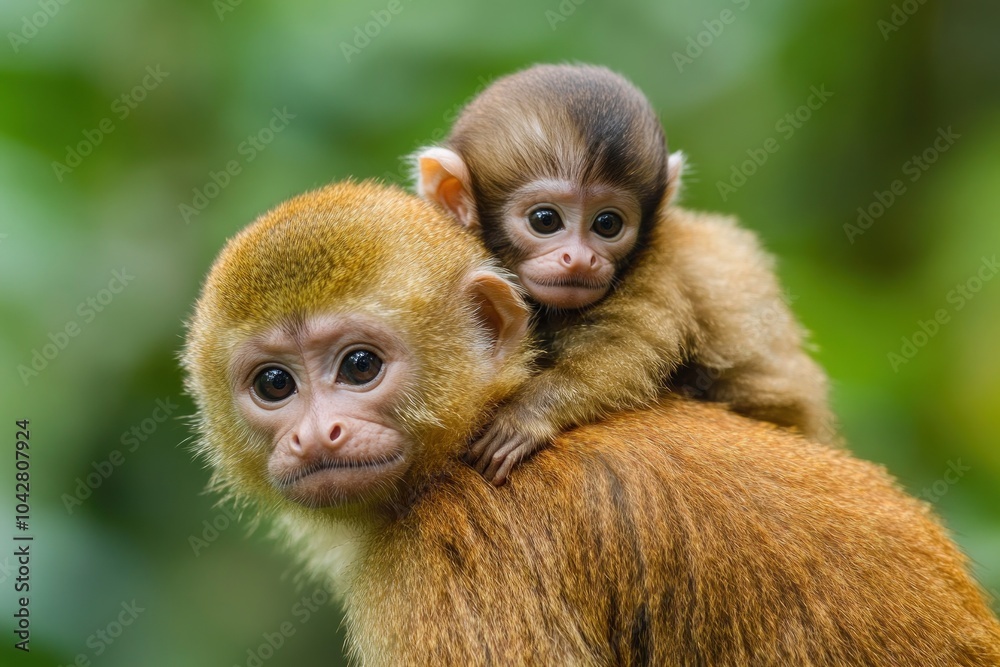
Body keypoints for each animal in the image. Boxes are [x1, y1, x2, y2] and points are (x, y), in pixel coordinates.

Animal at [414, 63, 836, 484]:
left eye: (608, 224)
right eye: (545, 220)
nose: (580, 259)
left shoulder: (656, 268)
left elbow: (629, 349)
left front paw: (527, 415)